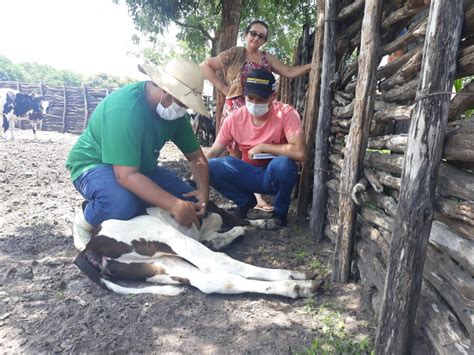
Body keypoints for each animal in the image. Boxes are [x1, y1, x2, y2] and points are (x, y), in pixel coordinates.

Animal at [76, 202, 324, 298]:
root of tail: (90, 244)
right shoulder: (218, 213)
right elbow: (241, 221)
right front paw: (266, 223)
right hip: (165, 235)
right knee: (220, 262)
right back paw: (295, 276)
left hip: (158, 265)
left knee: (214, 281)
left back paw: (298, 286)